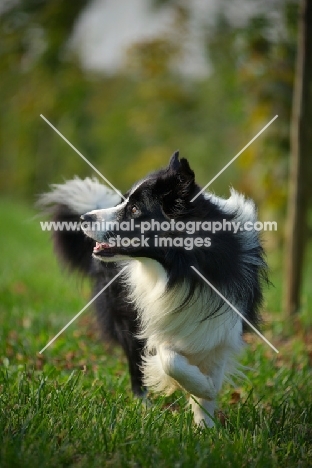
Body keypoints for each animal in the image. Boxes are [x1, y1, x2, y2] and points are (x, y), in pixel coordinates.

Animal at [40, 152, 266, 426]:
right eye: (124, 202)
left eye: (135, 209)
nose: (84, 219)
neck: (178, 271)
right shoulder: (153, 317)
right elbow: (169, 360)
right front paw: (203, 388)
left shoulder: (221, 324)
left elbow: (207, 364)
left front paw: (205, 424)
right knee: (137, 364)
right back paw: (144, 408)